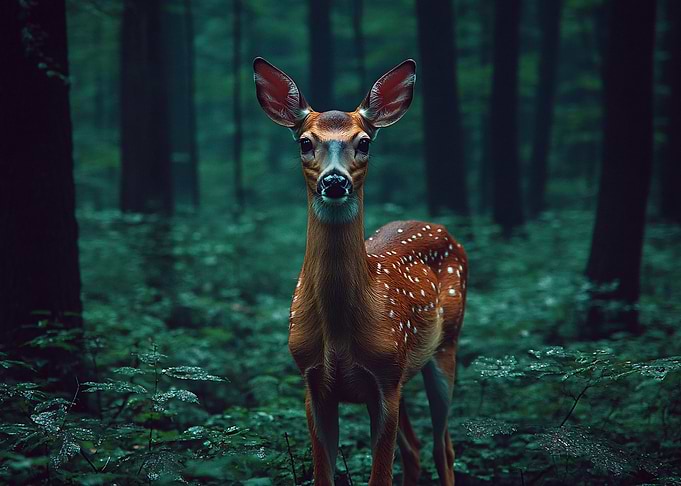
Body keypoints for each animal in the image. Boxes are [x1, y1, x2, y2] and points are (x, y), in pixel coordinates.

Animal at [253, 57, 467, 486]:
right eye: (305, 142)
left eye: (364, 142)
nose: (334, 181)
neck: (339, 332)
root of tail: (444, 230)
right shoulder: (314, 382)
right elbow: (324, 475)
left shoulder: (385, 378)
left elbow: (380, 475)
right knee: (414, 450)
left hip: (445, 346)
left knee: (444, 448)